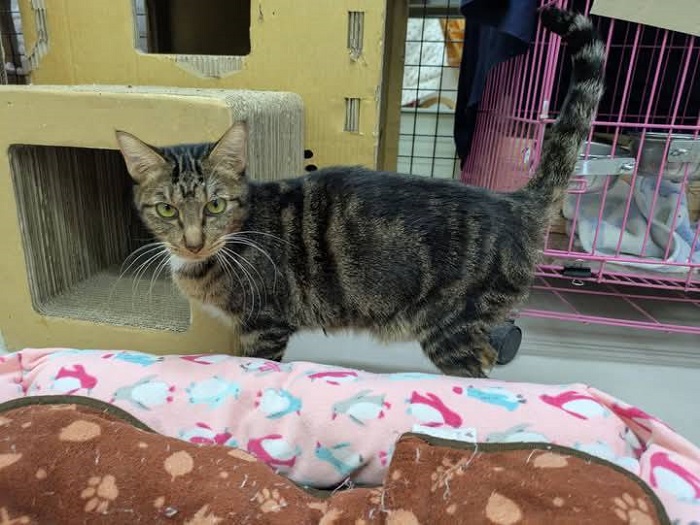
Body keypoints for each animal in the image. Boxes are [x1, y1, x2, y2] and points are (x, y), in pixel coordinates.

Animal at [116, 8, 605, 378]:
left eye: (215, 205)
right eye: (166, 210)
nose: (193, 242)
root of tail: (514, 201)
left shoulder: (264, 325)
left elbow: (258, 365)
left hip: (452, 326)